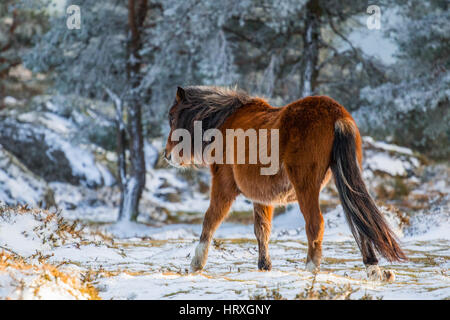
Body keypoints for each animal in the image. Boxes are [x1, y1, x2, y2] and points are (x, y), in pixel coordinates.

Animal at [163, 86, 406, 282]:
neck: (226, 122)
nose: (166, 155)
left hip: (306, 186)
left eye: (172, 117)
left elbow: (211, 220)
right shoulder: (261, 196)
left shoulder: (224, 185)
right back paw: (375, 271)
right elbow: (262, 229)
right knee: (360, 219)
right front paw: (264, 266)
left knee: (316, 224)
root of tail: (338, 115)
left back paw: (310, 269)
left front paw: (196, 265)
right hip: (345, 181)